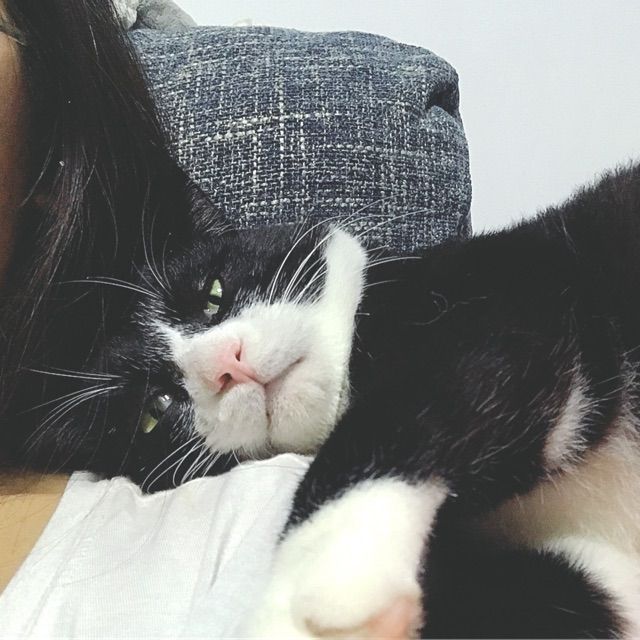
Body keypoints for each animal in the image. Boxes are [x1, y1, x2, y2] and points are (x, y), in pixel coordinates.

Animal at [13, 162, 640, 638]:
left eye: (213, 294)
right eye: (154, 410)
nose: (224, 366)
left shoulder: (516, 289)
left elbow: (401, 411)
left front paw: (319, 576)